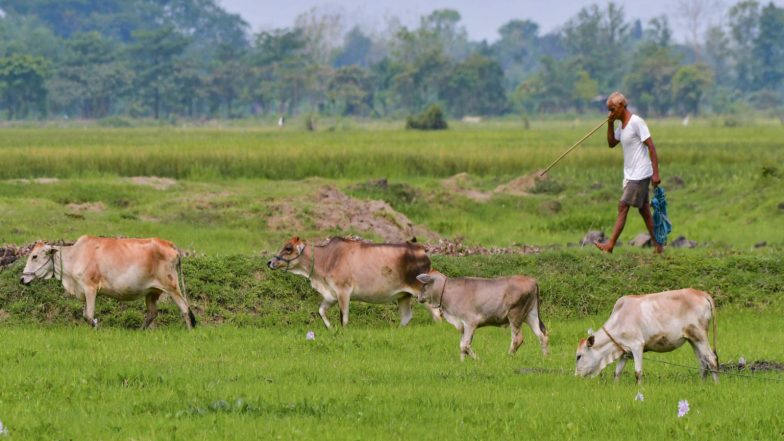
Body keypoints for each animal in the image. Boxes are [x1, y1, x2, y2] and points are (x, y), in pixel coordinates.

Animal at [20, 236, 196, 329]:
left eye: (34, 256)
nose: (22, 279)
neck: (75, 256)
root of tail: (171, 245)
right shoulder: (84, 291)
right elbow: (85, 315)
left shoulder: (90, 288)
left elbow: (89, 315)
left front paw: (96, 325)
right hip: (152, 291)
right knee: (152, 313)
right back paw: (140, 330)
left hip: (172, 287)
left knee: (185, 308)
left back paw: (189, 330)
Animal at [267, 236, 441, 328]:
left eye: (288, 248)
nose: (270, 262)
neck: (327, 259)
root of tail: (421, 248)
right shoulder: (331, 295)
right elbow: (321, 311)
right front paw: (330, 328)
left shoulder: (343, 291)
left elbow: (344, 317)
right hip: (403, 295)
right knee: (406, 317)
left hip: (422, 293)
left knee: (437, 315)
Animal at [415, 270, 549, 361]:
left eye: (424, 284)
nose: (418, 298)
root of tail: (532, 280)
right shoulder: (463, 326)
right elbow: (462, 345)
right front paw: (462, 362)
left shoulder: (470, 323)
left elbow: (464, 345)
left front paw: (477, 360)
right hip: (530, 315)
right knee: (542, 335)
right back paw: (545, 357)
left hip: (515, 315)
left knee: (518, 338)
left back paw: (508, 357)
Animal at [574, 288, 717, 384]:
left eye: (579, 356)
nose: (576, 376)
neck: (620, 319)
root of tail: (701, 293)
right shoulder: (624, 351)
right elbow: (617, 372)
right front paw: (616, 387)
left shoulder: (637, 346)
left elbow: (638, 372)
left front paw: (640, 389)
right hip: (692, 339)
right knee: (703, 362)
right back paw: (702, 384)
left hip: (700, 336)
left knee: (712, 360)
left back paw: (716, 385)